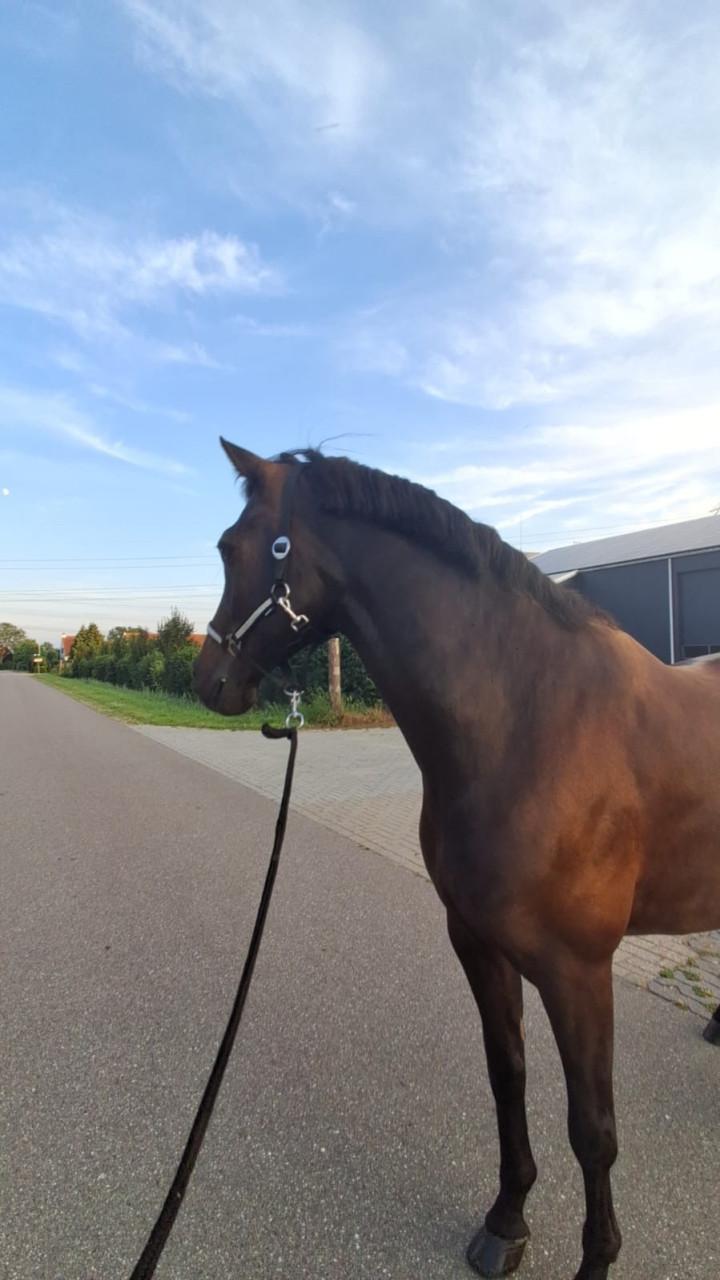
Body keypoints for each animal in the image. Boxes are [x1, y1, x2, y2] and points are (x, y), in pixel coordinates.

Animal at [194, 440, 720, 1280]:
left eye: (233, 547)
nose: (209, 680)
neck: (528, 724)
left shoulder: (579, 972)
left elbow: (593, 1130)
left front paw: (597, 1258)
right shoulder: (477, 943)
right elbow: (507, 1079)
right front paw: (506, 1222)